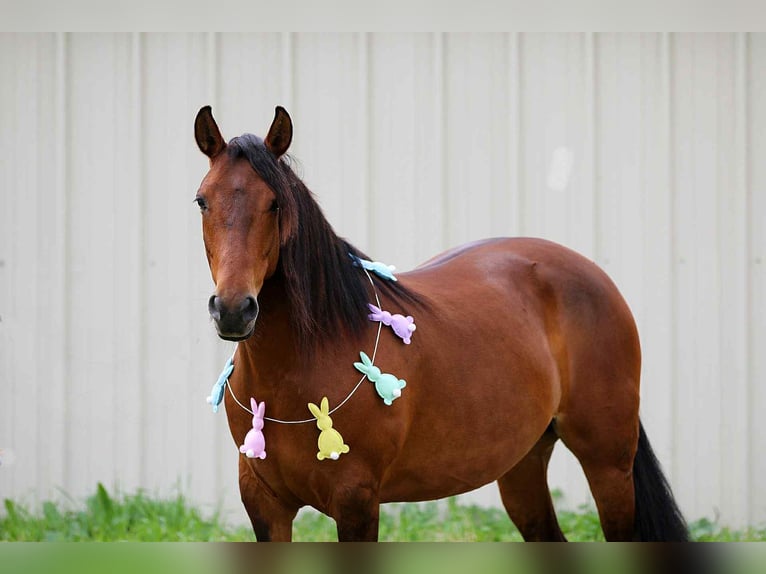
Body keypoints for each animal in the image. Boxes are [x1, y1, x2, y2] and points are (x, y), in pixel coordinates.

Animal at [193, 105, 688, 542]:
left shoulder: (356, 502)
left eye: (275, 203)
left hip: (607, 462)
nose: (234, 309)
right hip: (523, 462)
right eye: (202, 201)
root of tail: (593, 276)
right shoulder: (264, 505)